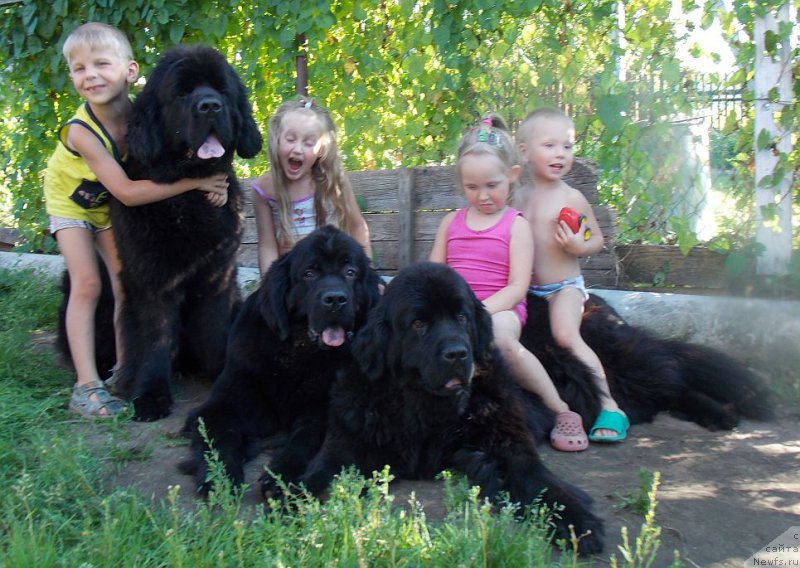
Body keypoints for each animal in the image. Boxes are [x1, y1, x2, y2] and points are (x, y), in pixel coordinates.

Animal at [106, 45, 260, 422]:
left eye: (221, 90)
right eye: (181, 93)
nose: (210, 106)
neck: (189, 197)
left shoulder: (219, 275)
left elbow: (216, 330)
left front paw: (223, 375)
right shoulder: (152, 281)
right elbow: (157, 337)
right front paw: (151, 395)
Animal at [183, 226, 382, 496]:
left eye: (350, 272)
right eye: (309, 273)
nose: (335, 299)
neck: (296, 353)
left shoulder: (320, 408)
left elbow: (302, 441)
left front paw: (279, 478)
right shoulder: (223, 402)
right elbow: (219, 440)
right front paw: (220, 481)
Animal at [290, 266, 604, 556]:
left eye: (462, 317)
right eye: (418, 324)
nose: (457, 354)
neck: (423, 405)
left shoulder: (508, 442)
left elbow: (542, 482)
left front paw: (579, 522)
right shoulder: (344, 446)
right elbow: (313, 485)